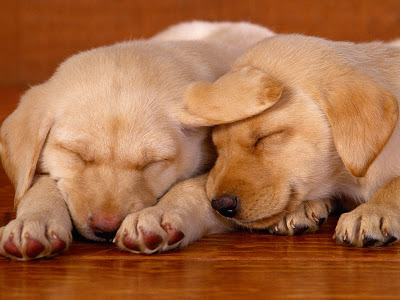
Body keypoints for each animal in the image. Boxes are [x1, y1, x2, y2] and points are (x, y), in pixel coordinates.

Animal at [0, 21, 276, 260]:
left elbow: (195, 187)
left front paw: (159, 215)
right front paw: (34, 221)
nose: (106, 228)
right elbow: (40, 184)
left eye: (152, 163)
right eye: (75, 154)